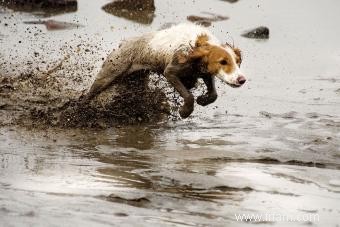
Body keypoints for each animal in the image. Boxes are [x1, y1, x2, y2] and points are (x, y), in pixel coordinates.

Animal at [83, 23, 246, 119]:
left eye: (237, 62)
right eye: (223, 62)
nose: (242, 80)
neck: (197, 44)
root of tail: (123, 44)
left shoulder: (204, 72)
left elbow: (213, 94)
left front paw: (203, 99)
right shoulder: (171, 72)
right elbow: (188, 96)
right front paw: (184, 111)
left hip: (136, 81)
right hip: (109, 74)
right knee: (88, 95)